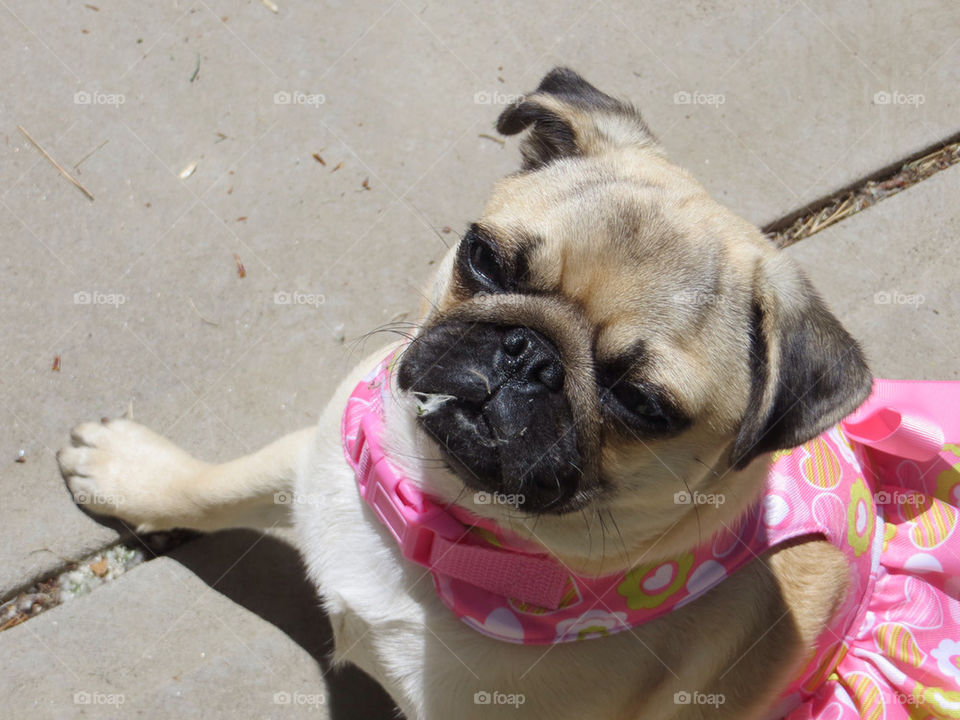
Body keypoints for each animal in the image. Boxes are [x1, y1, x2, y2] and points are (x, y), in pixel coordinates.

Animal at [58, 69, 872, 720]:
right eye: (484, 259)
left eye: (641, 404)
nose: (527, 356)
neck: (440, 522)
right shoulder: (317, 452)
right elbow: (214, 487)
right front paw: (127, 473)